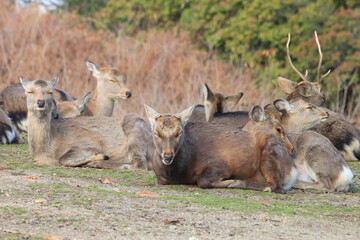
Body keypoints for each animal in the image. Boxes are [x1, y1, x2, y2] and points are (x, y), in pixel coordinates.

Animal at [20, 75, 152, 169]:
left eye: (50, 92)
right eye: (29, 91)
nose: (41, 102)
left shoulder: (87, 144)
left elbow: (63, 159)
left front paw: (100, 156)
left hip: (135, 127)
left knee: (140, 164)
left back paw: (96, 163)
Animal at [145, 103, 296, 193]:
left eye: (179, 132)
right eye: (156, 132)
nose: (168, 156)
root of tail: (293, 171)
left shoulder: (221, 166)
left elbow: (203, 181)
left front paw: (231, 181)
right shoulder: (161, 179)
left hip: (268, 157)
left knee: (275, 187)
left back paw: (240, 183)